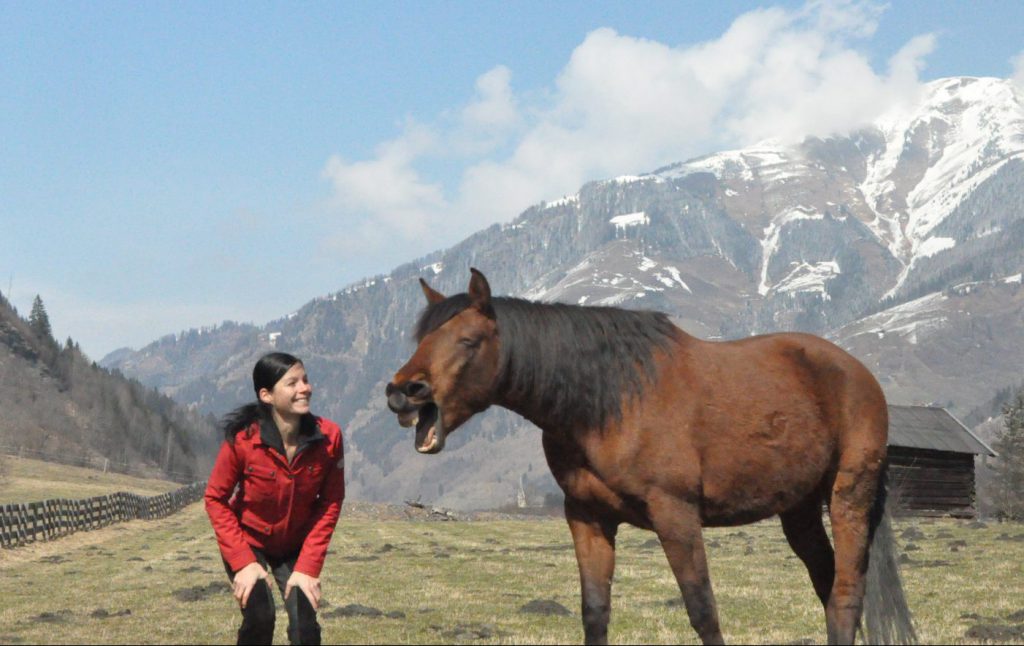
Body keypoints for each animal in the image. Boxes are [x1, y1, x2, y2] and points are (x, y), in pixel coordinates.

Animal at [385, 268, 913, 646]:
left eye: (469, 342)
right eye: (422, 340)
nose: (402, 393)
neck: (608, 403)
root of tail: (856, 372)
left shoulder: (675, 514)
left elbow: (702, 611)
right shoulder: (587, 517)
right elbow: (595, 613)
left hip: (848, 496)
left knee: (845, 596)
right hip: (799, 510)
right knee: (827, 587)